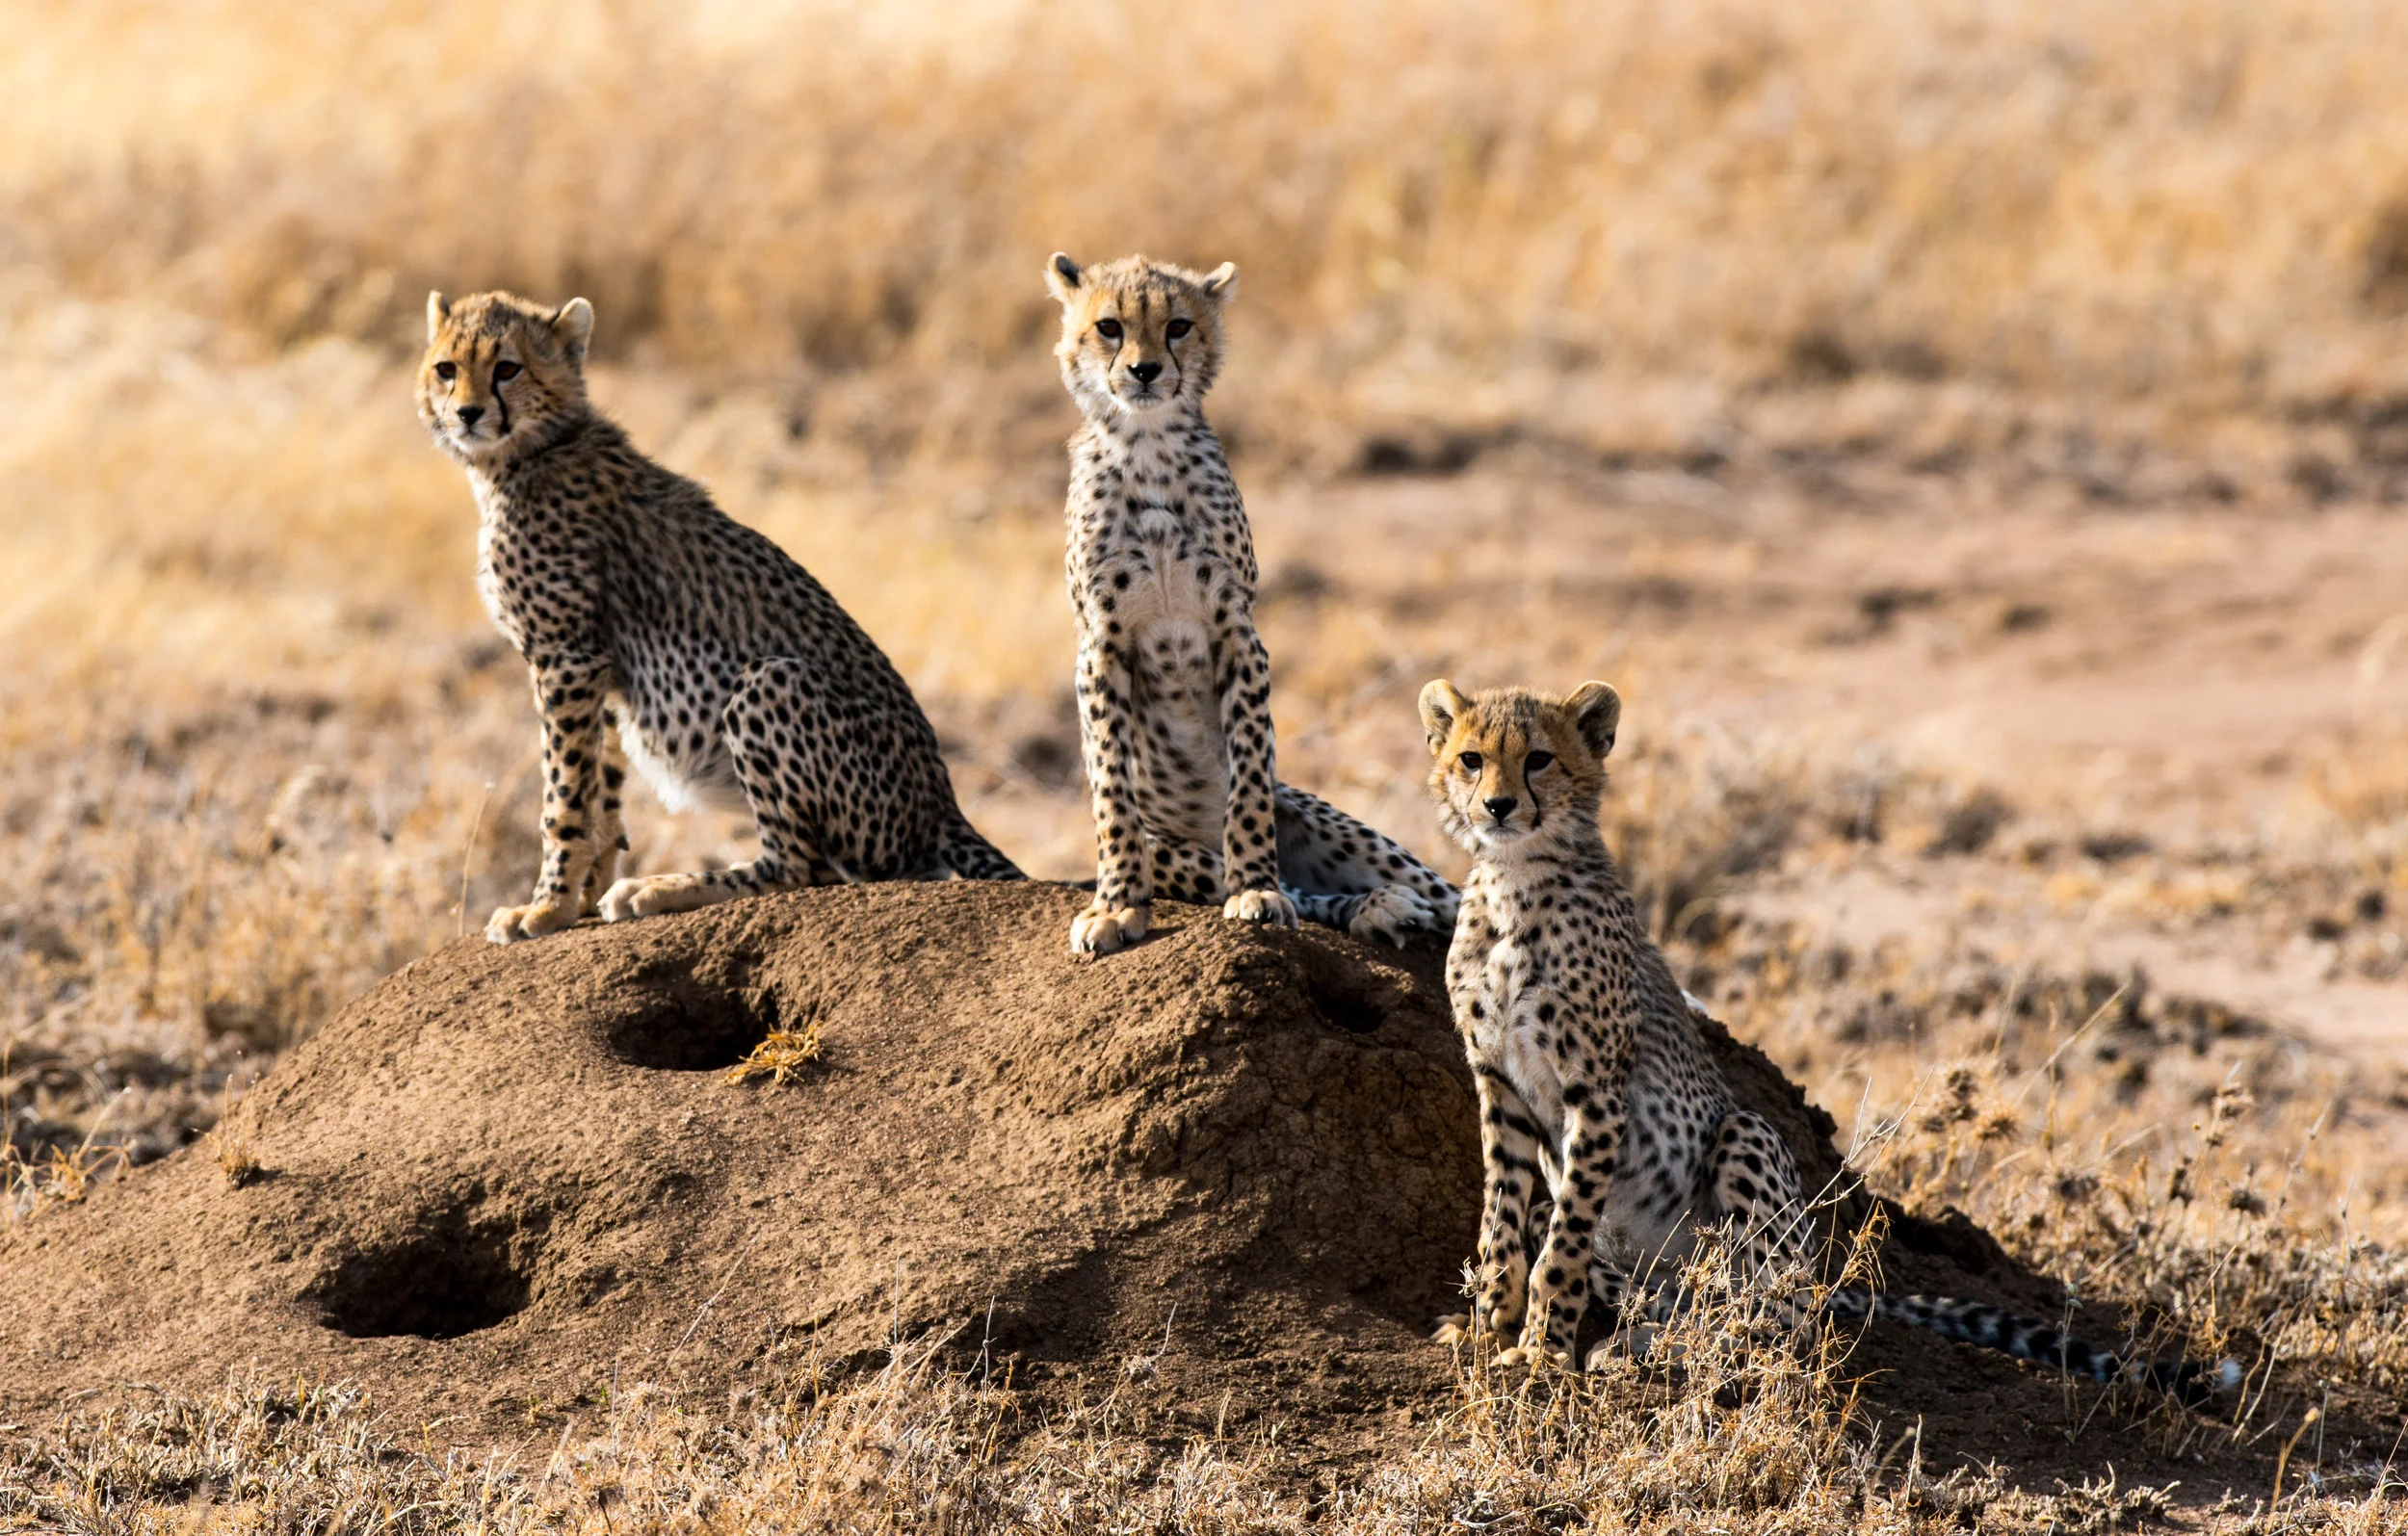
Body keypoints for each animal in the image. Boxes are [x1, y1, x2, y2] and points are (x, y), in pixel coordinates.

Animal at [418, 289, 1023, 945]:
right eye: (446, 368)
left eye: (507, 368)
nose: (468, 414)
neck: (529, 452)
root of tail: (943, 800)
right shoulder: (597, 669)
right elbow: (601, 788)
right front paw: (580, 897)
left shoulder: (566, 656)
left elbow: (564, 795)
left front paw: (546, 908)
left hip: (771, 679)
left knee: (799, 868)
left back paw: (662, 888)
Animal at [1042, 251, 1459, 957]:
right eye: (1109, 327)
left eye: (1178, 326)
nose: (1145, 370)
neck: (1147, 446)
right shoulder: (1100, 646)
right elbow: (1111, 791)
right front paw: (1117, 905)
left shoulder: (1238, 634)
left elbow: (1248, 783)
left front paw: (1254, 887)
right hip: (1178, 854)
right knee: (1311, 892)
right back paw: (1378, 909)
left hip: (1346, 830)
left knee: (1459, 896)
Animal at [1419, 677, 2241, 1402]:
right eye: (1471, 758)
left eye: (1538, 758)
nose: (1496, 805)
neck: (1513, 882)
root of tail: (1819, 1278)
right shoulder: (1500, 1083)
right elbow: (1504, 1218)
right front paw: (1488, 1328)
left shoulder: (1595, 1092)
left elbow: (1558, 1246)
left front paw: (1540, 1351)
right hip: (1668, 1257)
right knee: (1679, 1299)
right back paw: (1645, 1342)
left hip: (1745, 1139)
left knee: (1782, 1318)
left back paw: (1690, 1350)